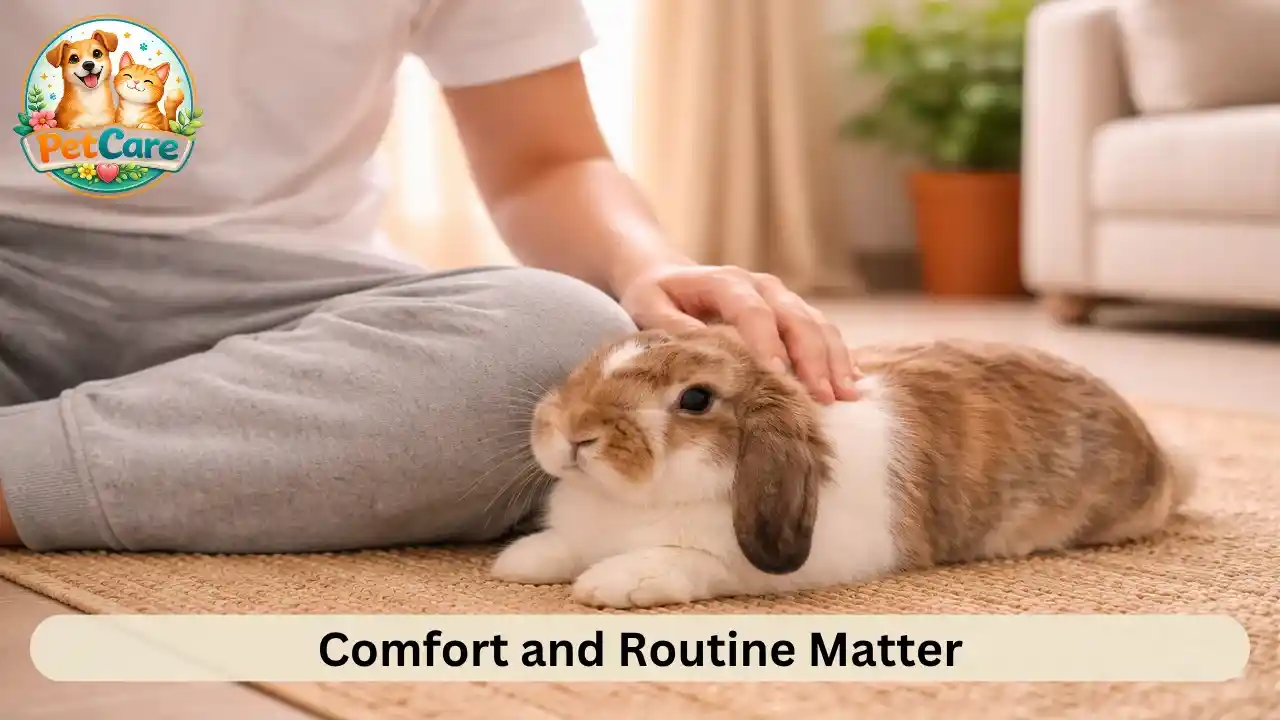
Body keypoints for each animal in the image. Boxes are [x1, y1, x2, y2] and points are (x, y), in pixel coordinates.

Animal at [489, 325, 1197, 609]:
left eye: (694, 400)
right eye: (601, 356)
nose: (574, 432)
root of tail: (1159, 457)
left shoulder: (764, 561)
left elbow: (690, 563)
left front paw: (614, 584)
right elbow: (564, 547)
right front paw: (520, 563)